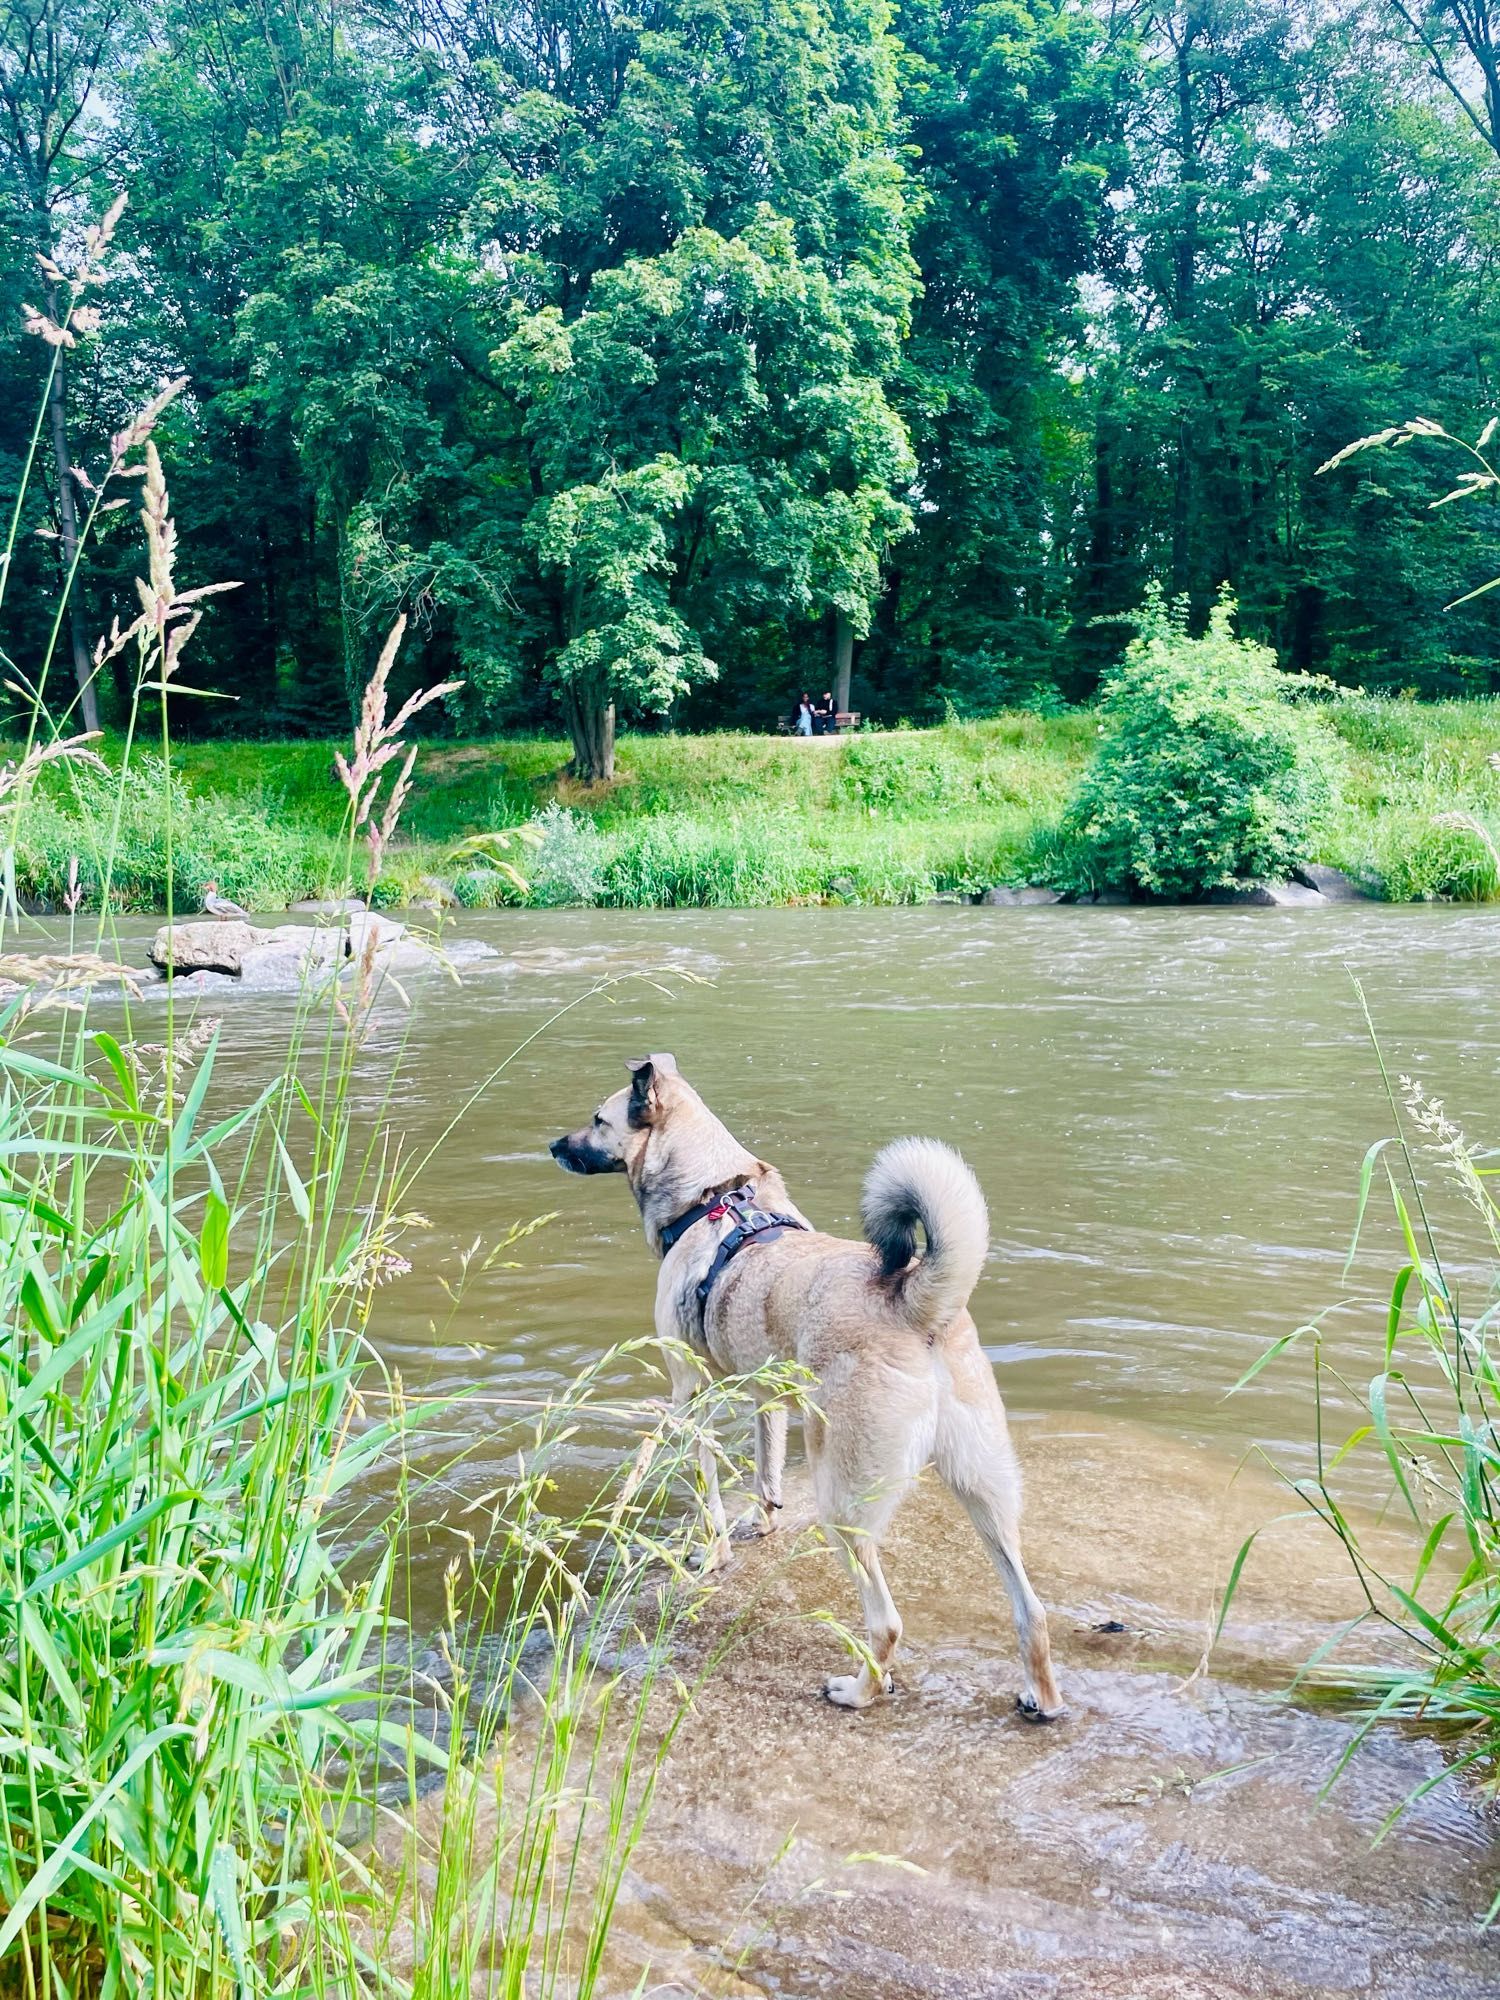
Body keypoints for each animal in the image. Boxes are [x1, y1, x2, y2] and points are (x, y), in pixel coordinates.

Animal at [556, 1048, 1072, 1720]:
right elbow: (766, 1473)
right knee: (1031, 1611)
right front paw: (763, 1524)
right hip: (985, 1489)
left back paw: (859, 1690)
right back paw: (1042, 1697)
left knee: (885, 1622)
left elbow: (709, 1493)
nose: (553, 1145)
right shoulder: (767, 1396)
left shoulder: (689, 1394)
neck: (712, 1193)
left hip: (845, 1502)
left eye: (600, 1119)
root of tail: (914, 1302)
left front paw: (712, 1554)